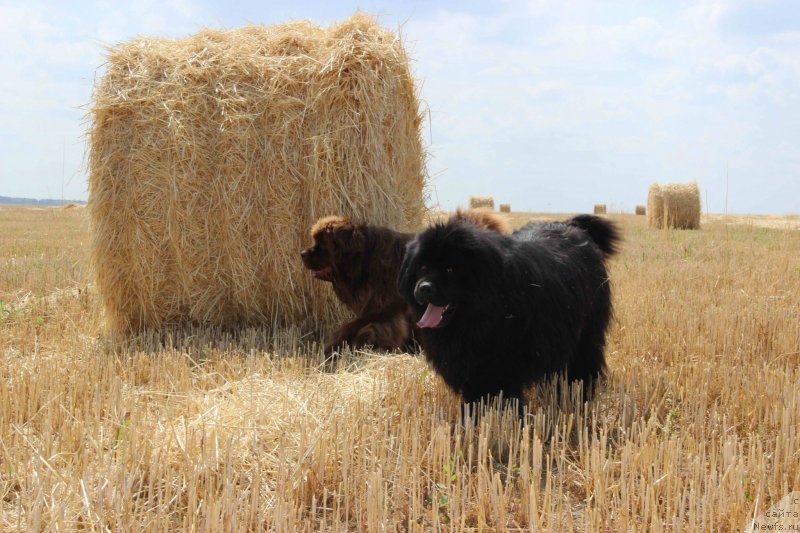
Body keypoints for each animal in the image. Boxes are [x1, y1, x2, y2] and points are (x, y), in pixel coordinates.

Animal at [300, 208, 512, 354]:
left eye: (321, 245)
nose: (302, 253)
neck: (364, 259)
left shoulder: (385, 307)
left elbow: (353, 326)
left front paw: (335, 347)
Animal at [398, 214, 620, 406]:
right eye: (422, 267)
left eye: (450, 269)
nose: (424, 288)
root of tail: (572, 226)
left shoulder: (502, 361)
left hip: (587, 333)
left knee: (584, 364)